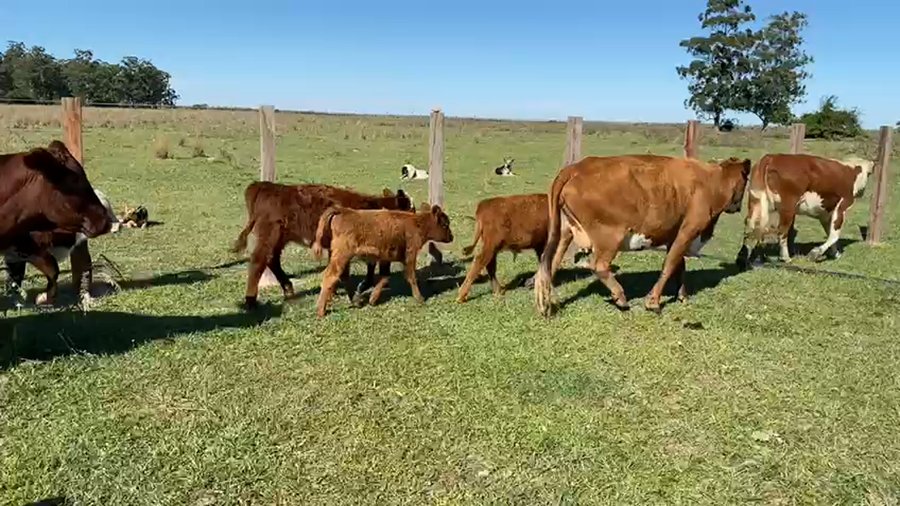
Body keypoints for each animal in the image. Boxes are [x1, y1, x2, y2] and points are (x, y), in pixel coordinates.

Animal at [232, 181, 415, 309]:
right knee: (258, 261)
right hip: (270, 234)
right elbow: (347, 271)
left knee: (272, 259)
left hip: (279, 238)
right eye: (410, 210)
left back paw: (289, 290)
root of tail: (267, 186)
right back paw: (251, 302)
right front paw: (355, 296)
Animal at [312, 204, 454, 317]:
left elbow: (385, 277)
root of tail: (343, 211)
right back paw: (321, 311)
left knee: (343, 276)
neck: (417, 223)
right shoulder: (410, 256)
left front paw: (372, 299)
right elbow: (411, 277)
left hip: (343, 258)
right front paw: (420, 298)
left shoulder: (385, 259)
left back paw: (356, 302)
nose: (452, 237)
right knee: (330, 276)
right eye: (445, 224)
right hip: (342, 256)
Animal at [533, 155, 752, 316]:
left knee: (550, 263)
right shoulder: (688, 231)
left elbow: (679, 266)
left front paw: (682, 295)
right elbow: (669, 265)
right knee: (599, 266)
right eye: (745, 182)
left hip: (564, 233)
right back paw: (620, 297)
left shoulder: (675, 235)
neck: (712, 182)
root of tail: (576, 167)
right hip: (610, 237)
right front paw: (653, 301)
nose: (738, 206)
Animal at [735, 154, 876, 269]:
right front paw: (815, 253)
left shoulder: (825, 214)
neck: (851, 171)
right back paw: (785, 258)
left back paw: (743, 258)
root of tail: (771, 157)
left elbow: (830, 232)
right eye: (869, 174)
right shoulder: (842, 206)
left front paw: (834, 253)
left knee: (750, 226)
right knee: (782, 230)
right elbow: (834, 235)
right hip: (788, 207)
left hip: (756, 202)